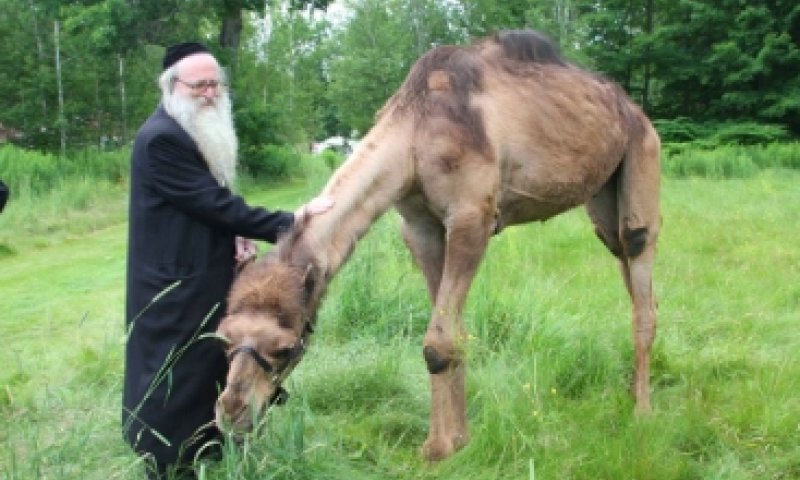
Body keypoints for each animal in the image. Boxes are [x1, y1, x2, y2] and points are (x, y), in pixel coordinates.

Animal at [216, 30, 660, 462]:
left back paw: (642, 412)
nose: (232, 412)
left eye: (285, 348)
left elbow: (437, 341)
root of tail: (634, 111)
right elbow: (451, 332)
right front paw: (458, 439)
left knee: (640, 268)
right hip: (603, 197)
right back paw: (630, 393)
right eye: (224, 338)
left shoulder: (471, 216)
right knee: (623, 259)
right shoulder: (420, 227)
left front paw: (439, 449)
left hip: (642, 156)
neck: (414, 133)